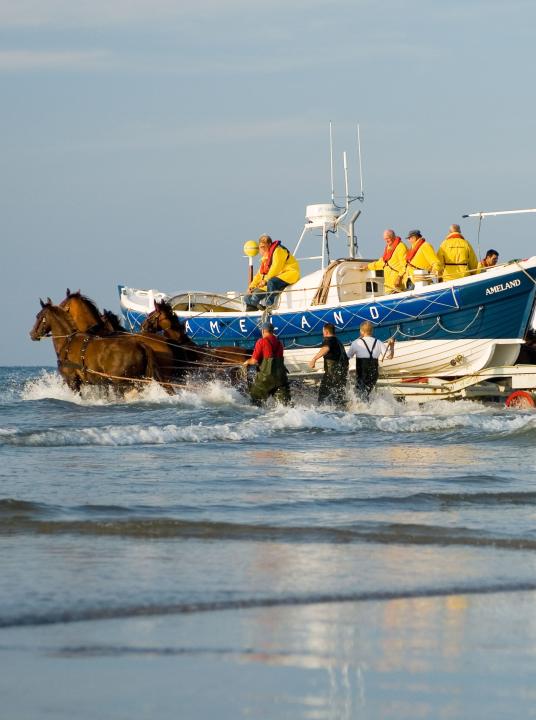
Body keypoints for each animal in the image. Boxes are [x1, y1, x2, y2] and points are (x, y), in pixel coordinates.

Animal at [28, 300, 165, 396]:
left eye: (38, 316)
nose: (32, 334)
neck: (68, 342)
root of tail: (141, 345)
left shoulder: (71, 380)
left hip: (122, 382)